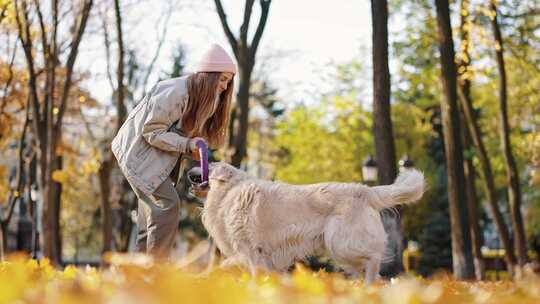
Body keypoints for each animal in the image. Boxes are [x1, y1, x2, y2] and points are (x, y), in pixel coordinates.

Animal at [200, 163, 424, 284]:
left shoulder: (253, 250)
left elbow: (249, 270)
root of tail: (366, 190)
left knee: (373, 259)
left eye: (207, 166)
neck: (231, 190)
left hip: (342, 243)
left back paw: (369, 285)